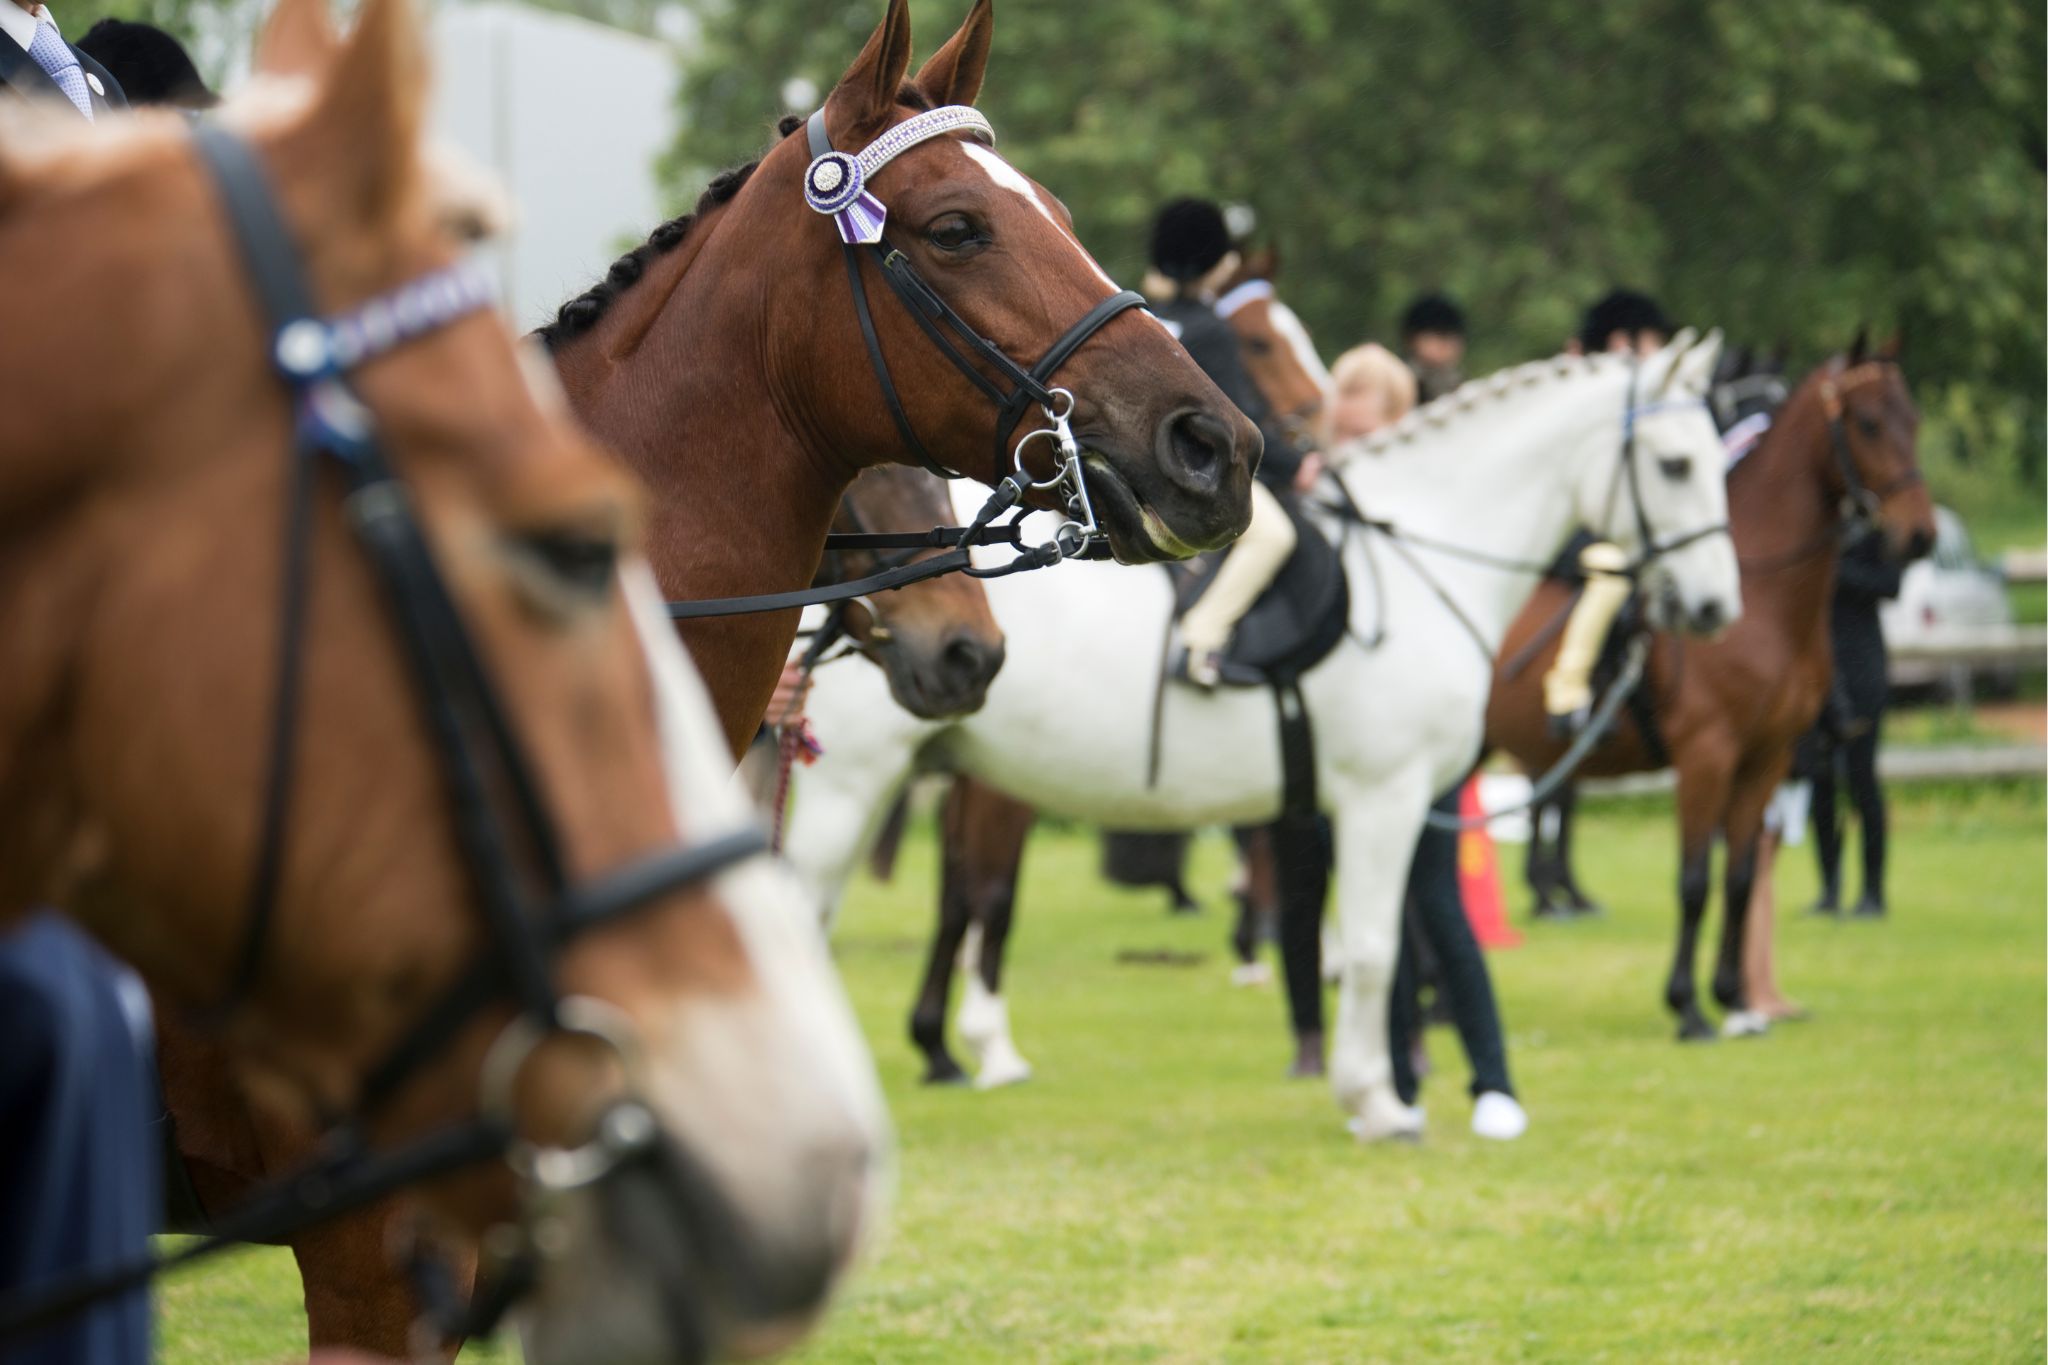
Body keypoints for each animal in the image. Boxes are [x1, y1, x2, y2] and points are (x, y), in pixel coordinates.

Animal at [790, 333, 1736, 1146]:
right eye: (1677, 465)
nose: (1715, 607)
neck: (1422, 568)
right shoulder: (1384, 796)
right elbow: (1372, 952)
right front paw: (1378, 1102)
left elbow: (1384, 947)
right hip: (853, 784)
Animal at [1490, 339, 1933, 1035]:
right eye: (1867, 423)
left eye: (1911, 419)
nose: (1920, 535)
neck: (1763, 599)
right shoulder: (1707, 755)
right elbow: (1695, 879)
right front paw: (1688, 1006)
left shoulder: (1765, 758)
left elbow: (1743, 878)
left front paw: (1734, 997)